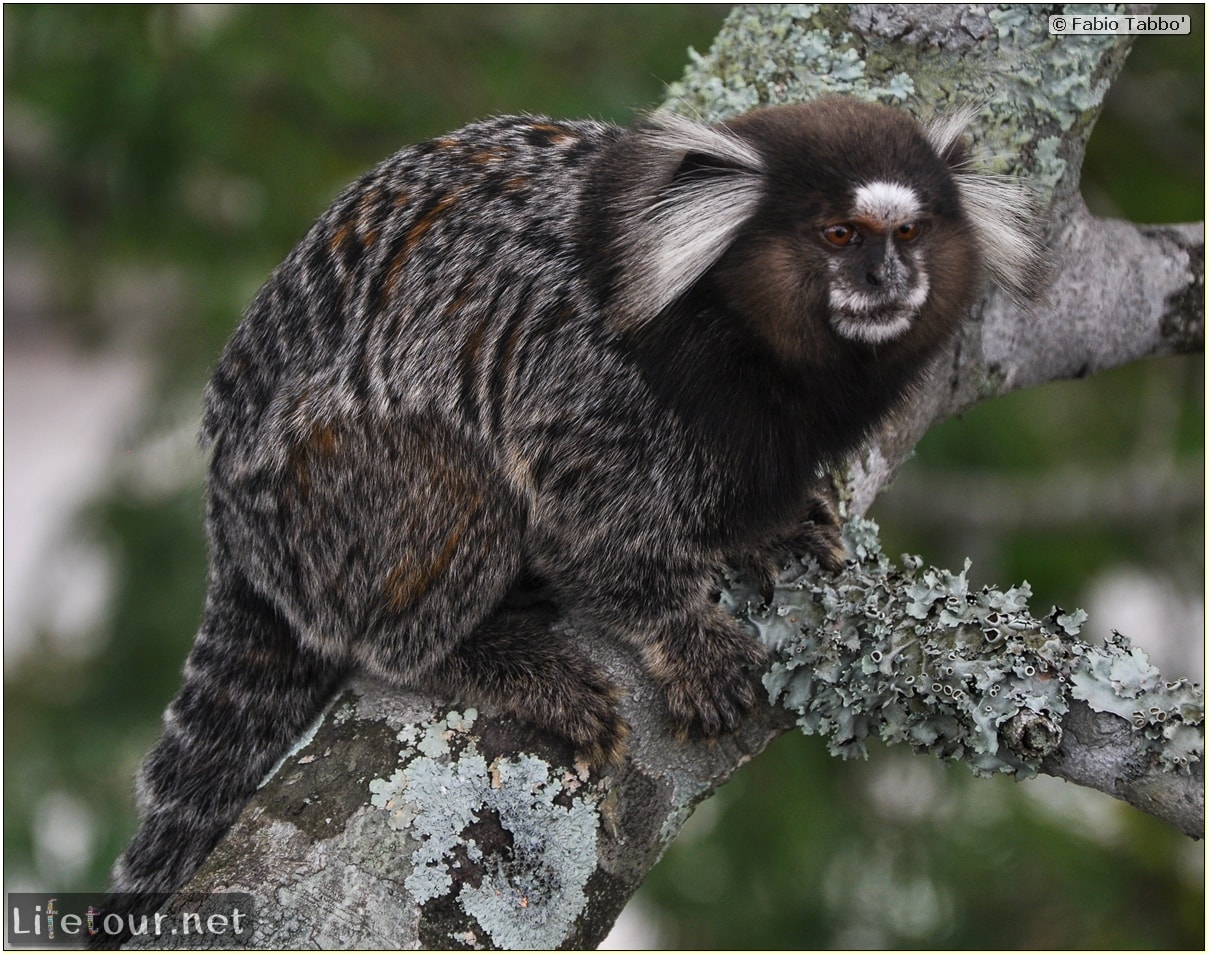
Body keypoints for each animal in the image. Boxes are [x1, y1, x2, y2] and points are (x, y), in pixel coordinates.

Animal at [111, 97, 1039, 904]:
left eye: (910, 231)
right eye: (839, 234)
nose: (887, 275)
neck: (730, 320)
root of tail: (226, 504)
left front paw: (763, 532)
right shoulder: (586, 368)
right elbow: (585, 519)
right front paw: (683, 631)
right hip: (319, 487)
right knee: (453, 496)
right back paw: (480, 654)